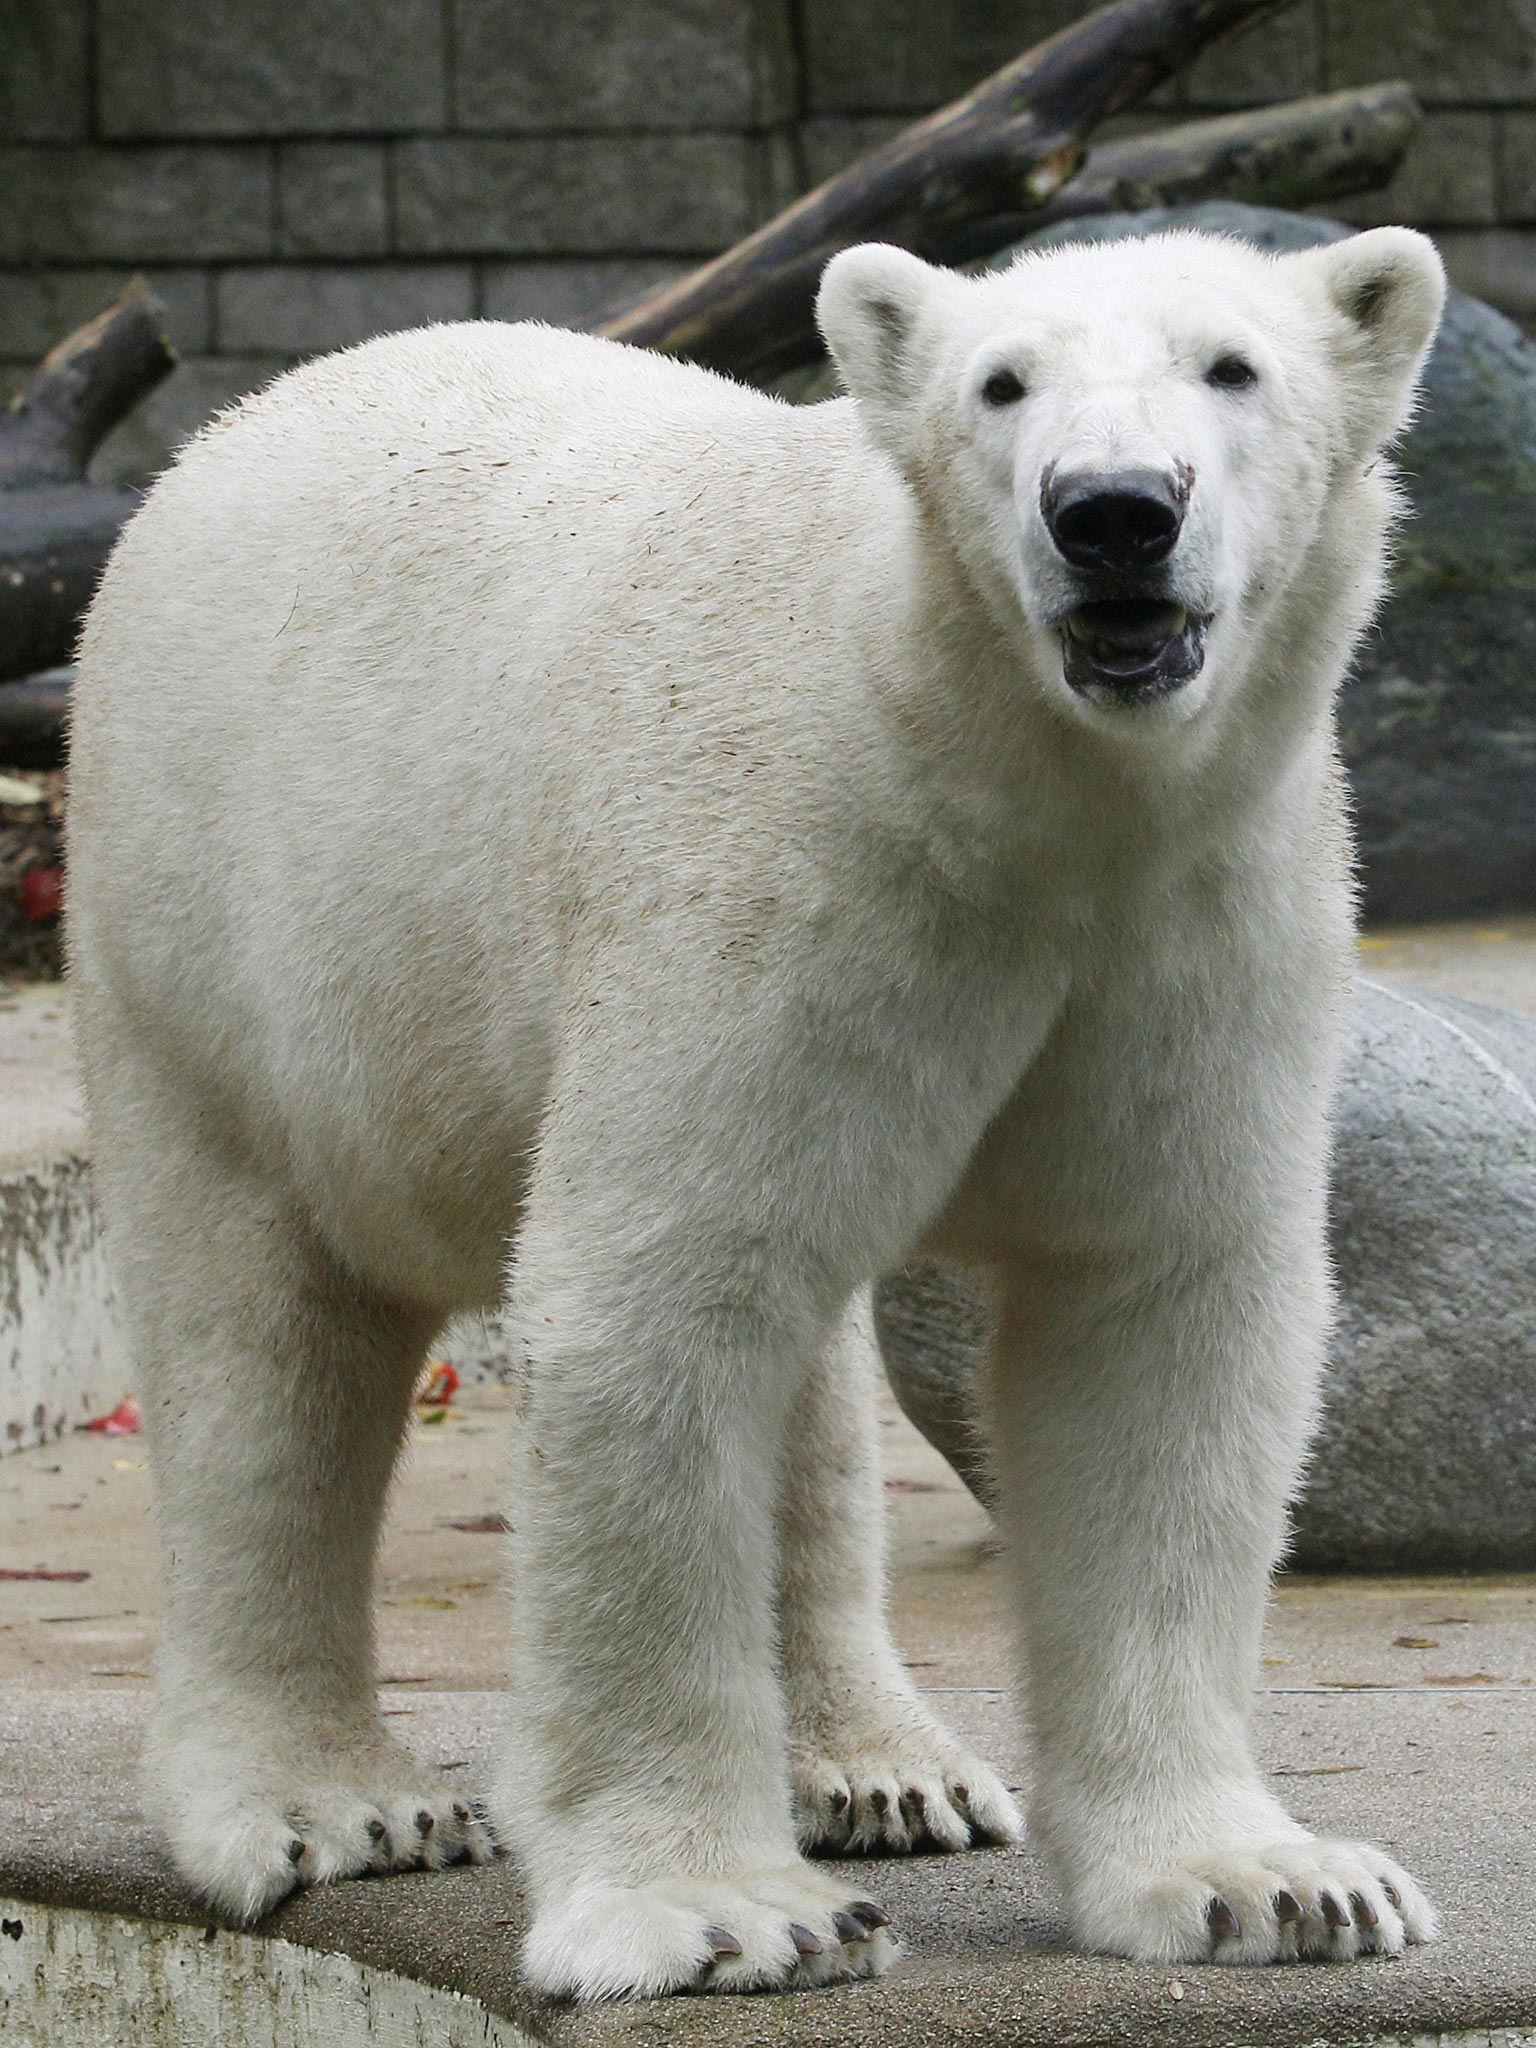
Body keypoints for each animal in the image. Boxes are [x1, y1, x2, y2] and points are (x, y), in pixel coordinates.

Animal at [66, 223, 1445, 2001]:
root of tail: (216, 442)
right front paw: (721, 1913)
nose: (1114, 512)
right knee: (262, 1346)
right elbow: (664, 1300)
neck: (1001, 776)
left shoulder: (1197, 919)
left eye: (1233, 368)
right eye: (1001, 385)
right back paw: (327, 1806)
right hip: (218, 936)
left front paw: (1268, 1884)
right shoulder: (791, 870)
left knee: (817, 1381)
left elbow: (1158, 1318)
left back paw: (885, 1770)